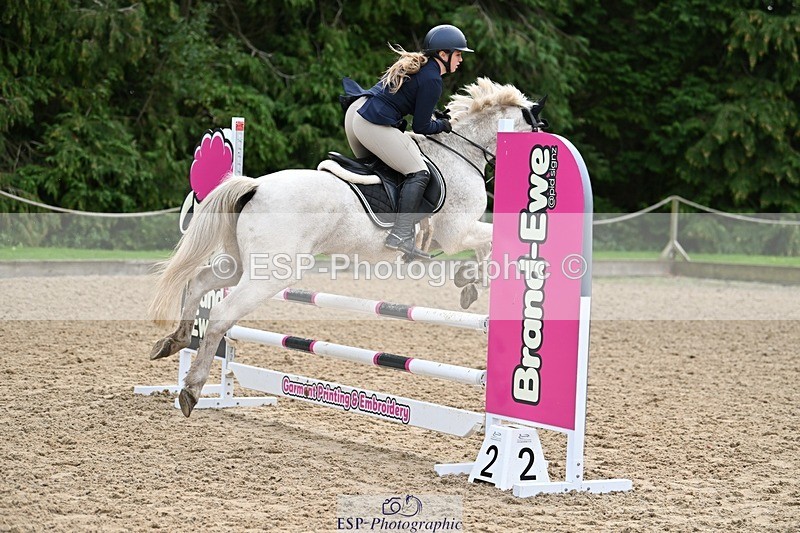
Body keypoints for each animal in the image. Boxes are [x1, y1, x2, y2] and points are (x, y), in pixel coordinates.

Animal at [148, 77, 540, 417]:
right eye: (537, 125)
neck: (460, 154)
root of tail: (255, 187)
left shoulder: (457, 234)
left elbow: (489, 244)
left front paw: (470, 284)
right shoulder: (456, 232)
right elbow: (491, 239)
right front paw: (471, 280)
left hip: (241, 264)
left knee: (198, 283)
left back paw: (172, 343)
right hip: (270, 274)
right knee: (221, 315)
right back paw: (192, 389)